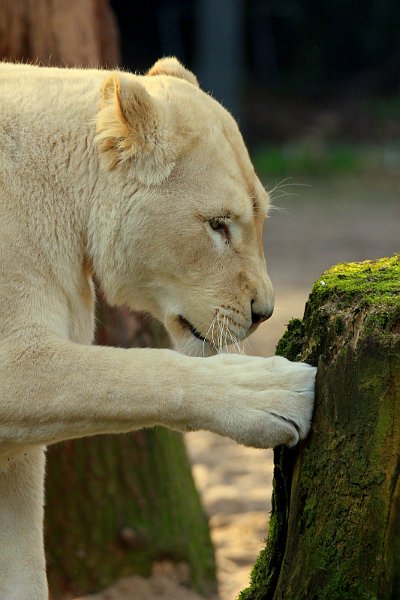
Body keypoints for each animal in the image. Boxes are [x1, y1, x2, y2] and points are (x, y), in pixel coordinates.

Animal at [0, 57, 316, 600]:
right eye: (218, 224)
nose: (265, 312)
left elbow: (23, 568)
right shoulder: (16, 362)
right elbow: (131, 377)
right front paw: (272, 391)